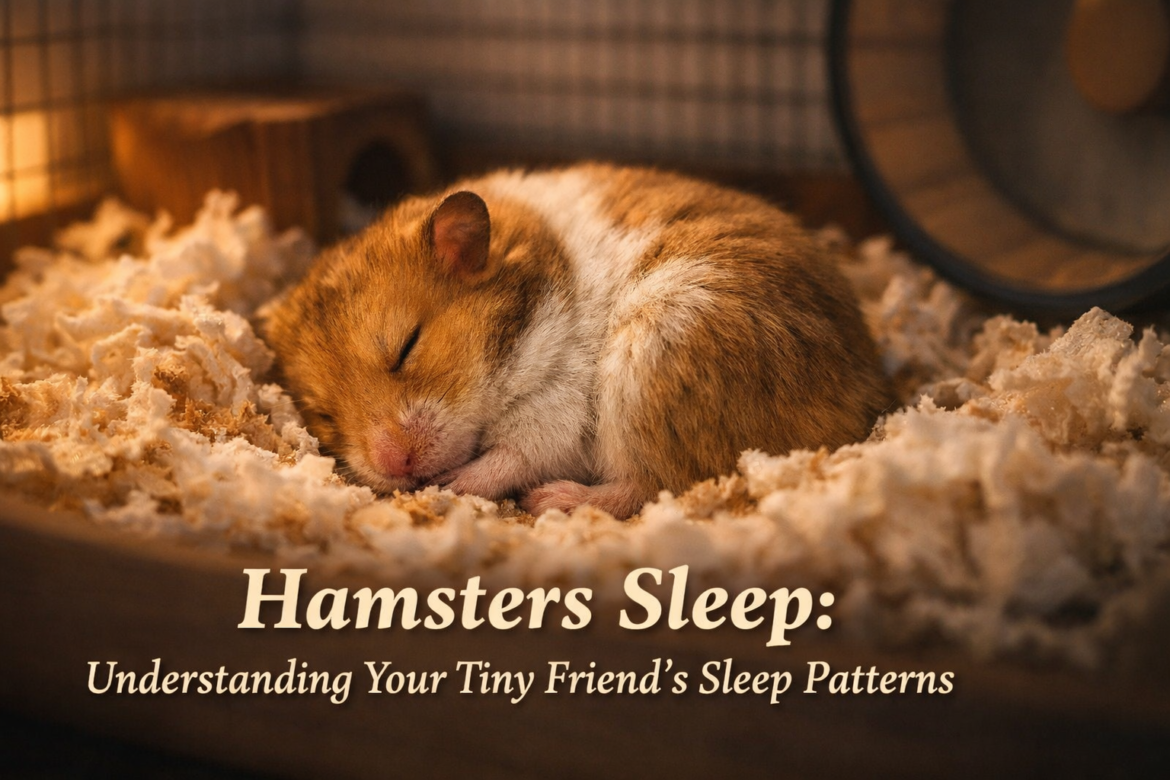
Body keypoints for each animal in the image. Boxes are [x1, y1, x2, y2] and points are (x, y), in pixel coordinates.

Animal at [262, 164, 892, 519]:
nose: (396, 467)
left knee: (659, 485)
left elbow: (512, 455)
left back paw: (552, 501)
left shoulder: (554, 403)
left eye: (406, 346)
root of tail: (871, 401)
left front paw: (451, 485)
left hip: (659, 351)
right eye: (324, 414)